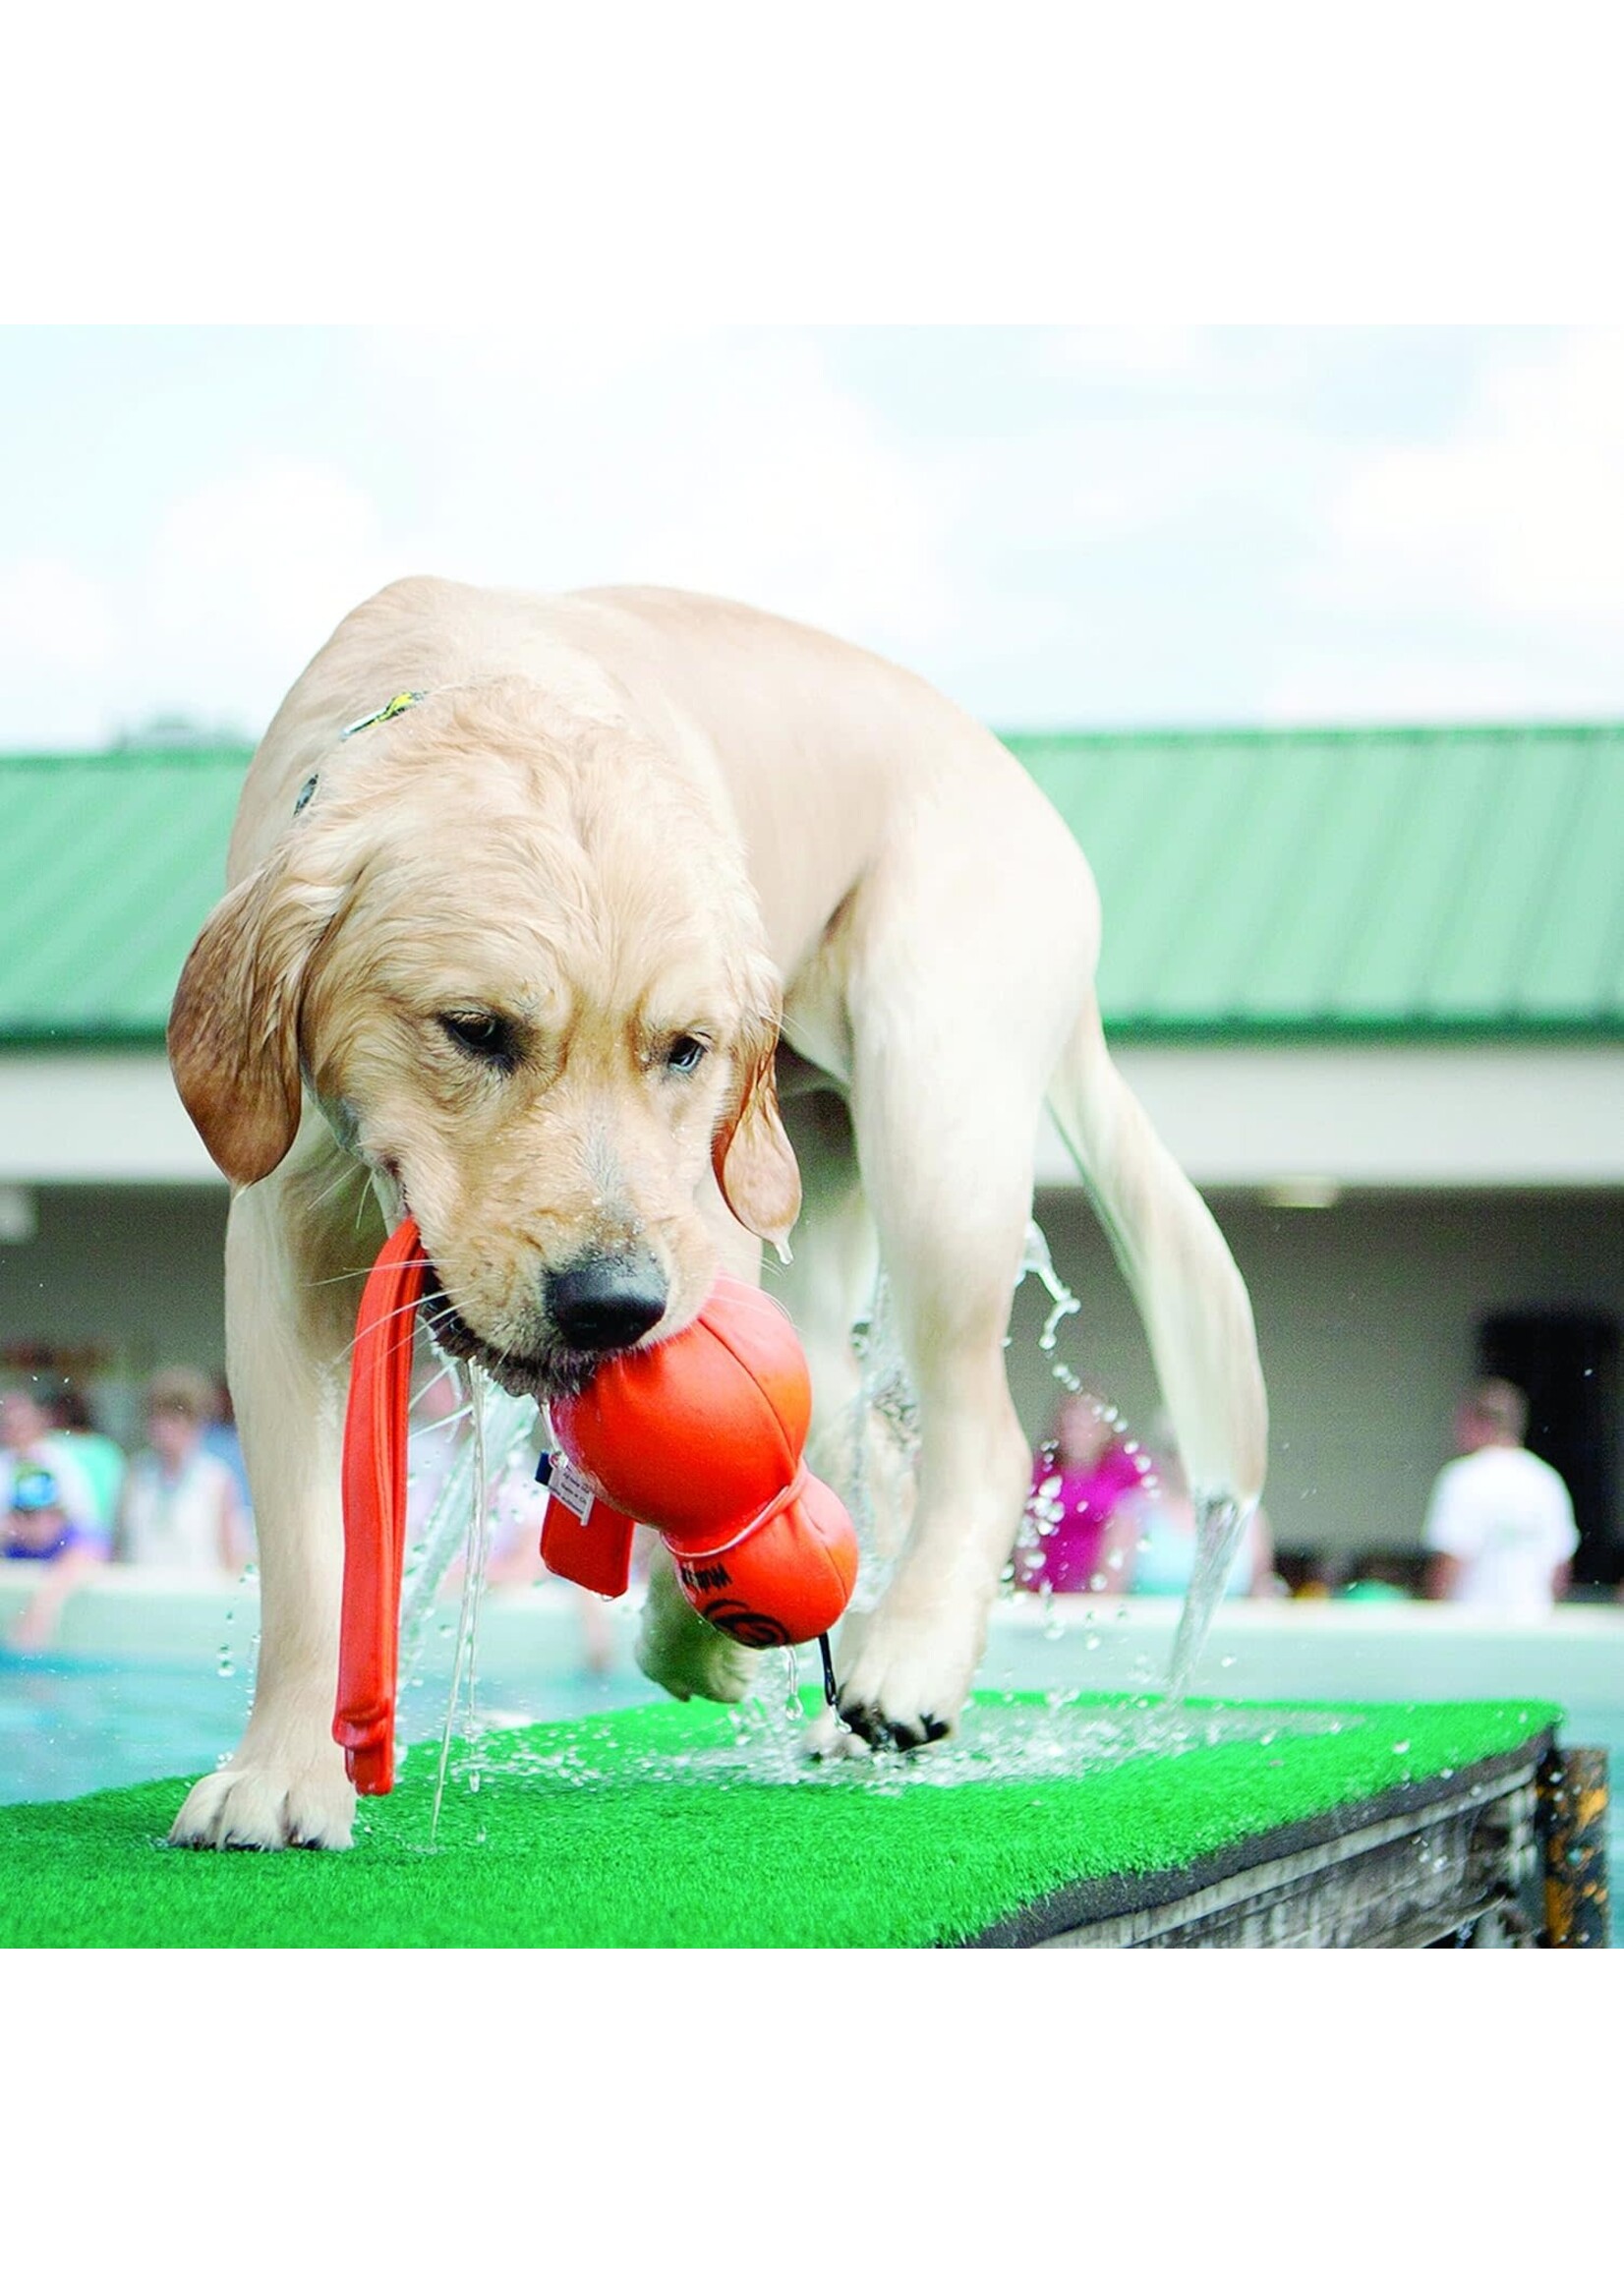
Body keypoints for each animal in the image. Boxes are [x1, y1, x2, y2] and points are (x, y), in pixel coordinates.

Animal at [167, 582, 1264, 1846]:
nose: (611, 1305)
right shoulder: (284, 1230)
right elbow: (308, 1546)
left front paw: (701, 1635)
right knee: (865, 1432)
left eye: (682, 1049)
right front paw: (281, 1770)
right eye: (475, 1029)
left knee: (975, 1430)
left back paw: (906, 1661)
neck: (480, 681)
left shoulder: (703, 1218)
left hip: (932, 1112)